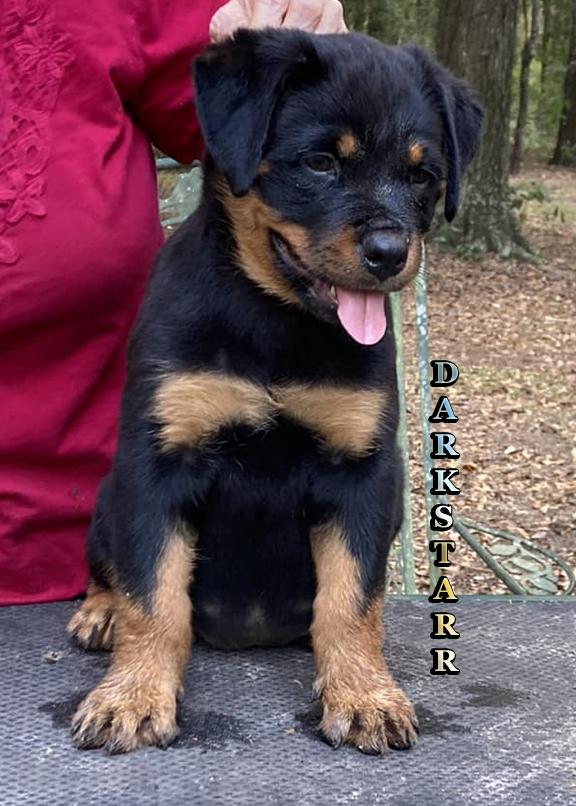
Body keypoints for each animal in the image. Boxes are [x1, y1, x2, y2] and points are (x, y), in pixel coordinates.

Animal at [67, 28, 482, 755]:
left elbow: (352, 601)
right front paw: (133, 696)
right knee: (111, 570)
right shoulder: (157, 464)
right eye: (319, 163)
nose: (389, 252)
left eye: (422, 175)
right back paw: (99, 613)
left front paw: (364, 695)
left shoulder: (363, 474)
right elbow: (152, 594)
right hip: (107, 495)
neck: (276, 323)